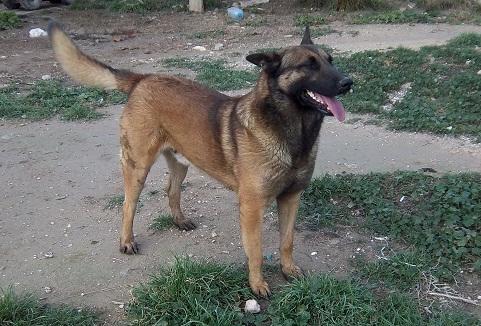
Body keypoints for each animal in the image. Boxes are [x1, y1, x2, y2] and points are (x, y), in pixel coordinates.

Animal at [48, 22, 350, 296]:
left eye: (330, 60)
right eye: (309, 65)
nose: (348, 82)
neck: (293, 131)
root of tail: (143, 79)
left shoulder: (291, 198)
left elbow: (287, 242)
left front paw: (288, 270)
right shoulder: (252, 208)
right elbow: (255, 251)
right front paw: (257, 284)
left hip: (181, 162)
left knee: (171, 190)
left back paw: (180, 220)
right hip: (138, 167)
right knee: (128, 205)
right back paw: (127, 241)